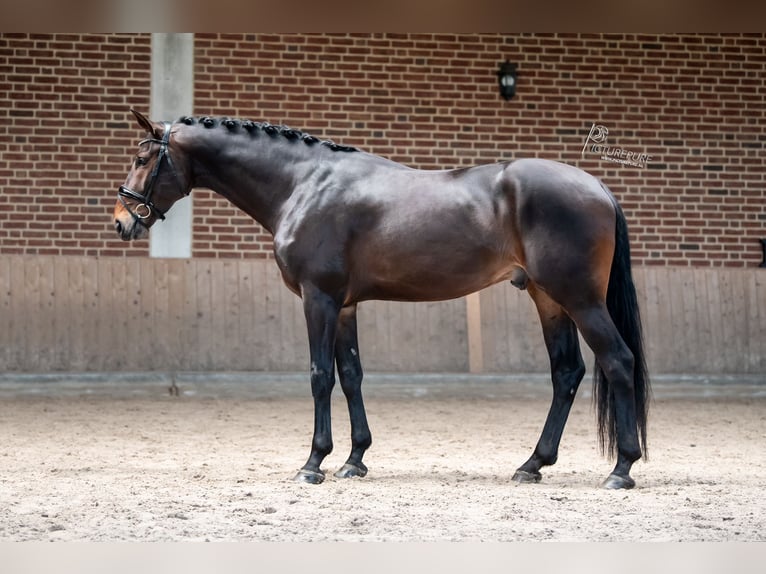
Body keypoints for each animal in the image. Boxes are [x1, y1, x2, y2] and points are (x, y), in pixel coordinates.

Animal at [115, 109, 656, 490]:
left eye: (143, 159)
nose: (122, 221)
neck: (303, 185)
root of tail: (597, 185)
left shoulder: (318, 299)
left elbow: (320, 376)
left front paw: (313, 463)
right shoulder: (345, 305)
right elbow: (352, 375)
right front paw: (354, 460)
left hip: (579, 299)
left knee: (618, 361)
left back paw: (621, 469)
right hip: (548, 300)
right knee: (567, 373)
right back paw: (532, 464)